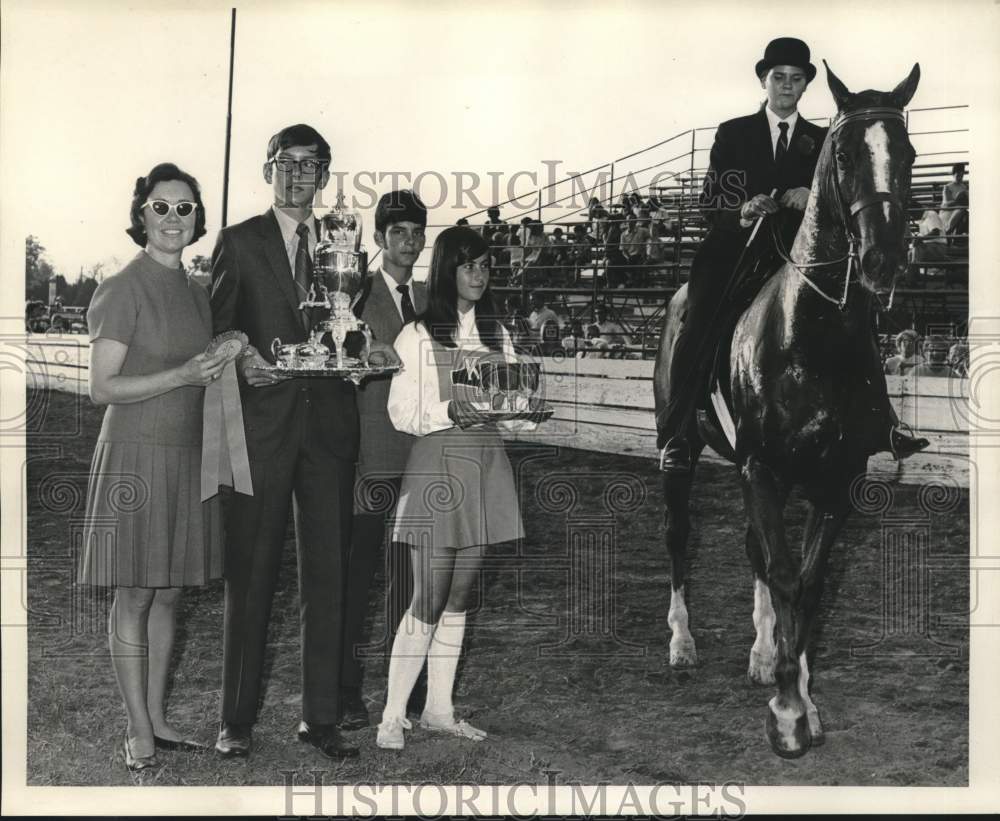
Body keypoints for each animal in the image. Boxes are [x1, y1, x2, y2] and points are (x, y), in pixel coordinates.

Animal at [652, 62, 924, 756]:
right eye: (845, 154)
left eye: (908, 153)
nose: (882, 263)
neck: (810, 333)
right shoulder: (763, 469)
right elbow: (783, 572)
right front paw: (786, 712)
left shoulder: (835, 477)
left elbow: (805, 582)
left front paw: (796, 688)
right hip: (683, 455)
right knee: (679, 536)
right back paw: (682, 644)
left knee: (755, 551)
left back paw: (758, 651)